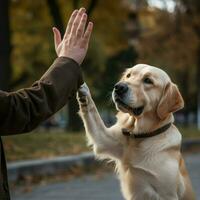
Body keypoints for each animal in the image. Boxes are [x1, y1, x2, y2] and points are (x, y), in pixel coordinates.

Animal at [77, 64, 195, 200]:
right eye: (129, 75)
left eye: (148, 80)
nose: (119, 87)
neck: (140, 135)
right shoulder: (103, 139)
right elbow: (92, 112)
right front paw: (83, 91)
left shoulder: (167, 194)